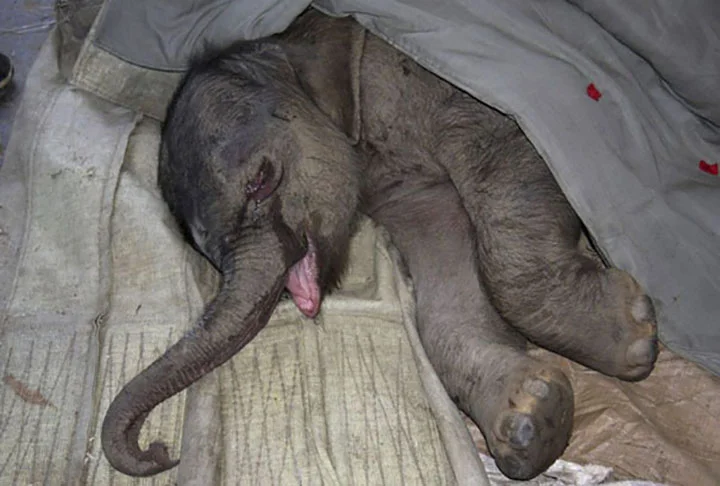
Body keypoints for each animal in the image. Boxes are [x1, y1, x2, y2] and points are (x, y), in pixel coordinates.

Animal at [101, 9, 658, 480]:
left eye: (261, 180)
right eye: (207, 252)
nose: (161, 450)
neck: (290, 44)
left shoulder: (445, 91)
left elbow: (506, 162)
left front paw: (637, 335)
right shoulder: (403, 190)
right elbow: (448, 264)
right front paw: (531, 421)